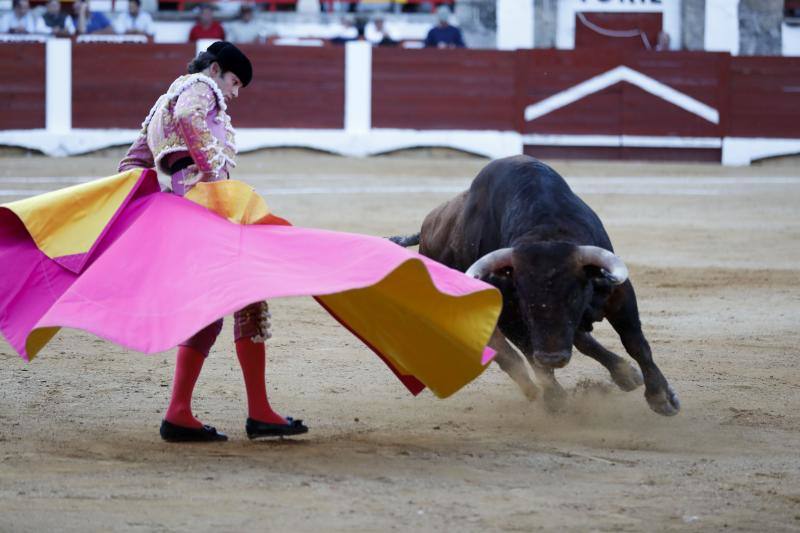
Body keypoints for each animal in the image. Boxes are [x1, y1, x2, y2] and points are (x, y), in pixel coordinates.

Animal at [390, 154, 680, 416]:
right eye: (523, 299)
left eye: (574, 296)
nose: (553, 357)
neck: (545, 232)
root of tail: (426, 231)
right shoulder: (509, 313)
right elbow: (531, 355)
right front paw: (555, 398)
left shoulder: (618, 293)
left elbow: (635, 342)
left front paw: (661, 397)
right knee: (512, 356)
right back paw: (541, 393)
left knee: (578, 341)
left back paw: (625, 375)